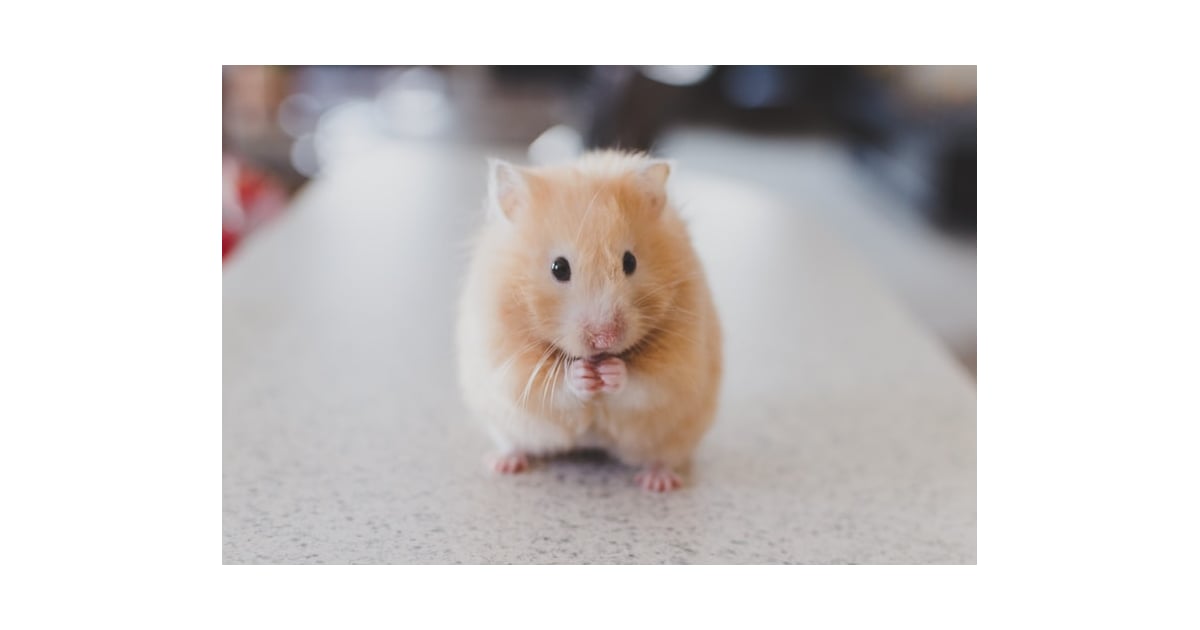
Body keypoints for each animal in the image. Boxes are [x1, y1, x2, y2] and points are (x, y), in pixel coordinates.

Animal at [455, 150, 722, 492]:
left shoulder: (679, 365)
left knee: (662, 457)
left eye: (630, 262)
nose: (604, 339)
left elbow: (644, 384)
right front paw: (583, 374)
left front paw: (611, 372)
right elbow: (551, 386)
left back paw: (658, 482)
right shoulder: (507, 362)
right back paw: (503, 464)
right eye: (559, 268)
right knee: (514, 443)